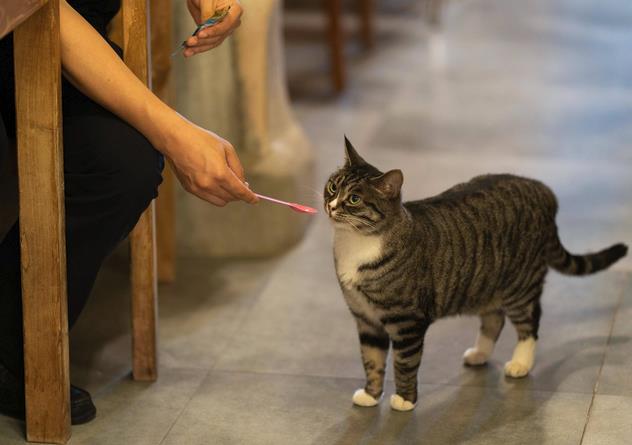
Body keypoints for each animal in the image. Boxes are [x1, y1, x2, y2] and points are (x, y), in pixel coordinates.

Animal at [325, 137, 628, 412]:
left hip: (520, 285)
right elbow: (372, 361)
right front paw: (371, 395)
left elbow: (404, 363)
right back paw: (480, 353)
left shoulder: (407, 321)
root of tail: (544, 190)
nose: (331, 205)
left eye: (354, 199)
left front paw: (405, 399)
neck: (356, 243)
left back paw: (521, 362)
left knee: (530, 323)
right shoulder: (366, 320)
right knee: (495, 319)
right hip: (485, 284)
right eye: (332, 186)